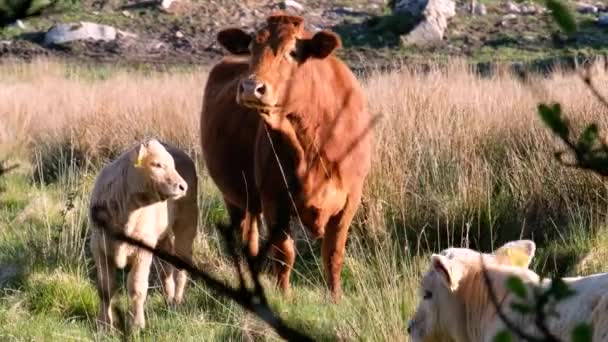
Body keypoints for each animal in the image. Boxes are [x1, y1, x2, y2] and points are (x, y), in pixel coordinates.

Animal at [201, 13, 370, 300]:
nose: (251, 87)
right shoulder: (274, 200)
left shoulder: (350, 201)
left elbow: (333, 253)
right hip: (233, 196)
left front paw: (336, 297)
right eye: (251, 48)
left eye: (292, 51)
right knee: (244, 235)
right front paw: (284, 295)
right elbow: (285, 253)